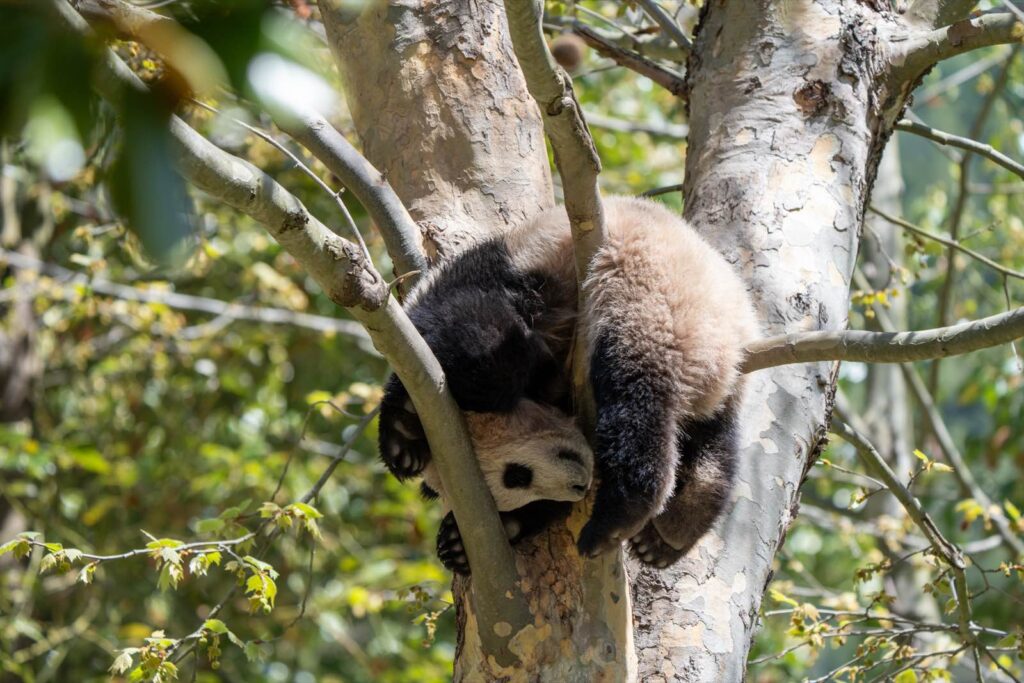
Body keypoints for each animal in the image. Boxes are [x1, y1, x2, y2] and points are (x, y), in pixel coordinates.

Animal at [378, 196, 759, 574]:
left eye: (515, 475)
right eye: (519, 487)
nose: (579, 485)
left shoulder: (490, 278)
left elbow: (474, 340)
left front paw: (404, 432)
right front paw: (461, 542)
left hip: (645, 292)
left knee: (636, 398)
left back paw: (621, 514)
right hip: (714, 366)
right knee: (713, 438)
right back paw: (674, 530)